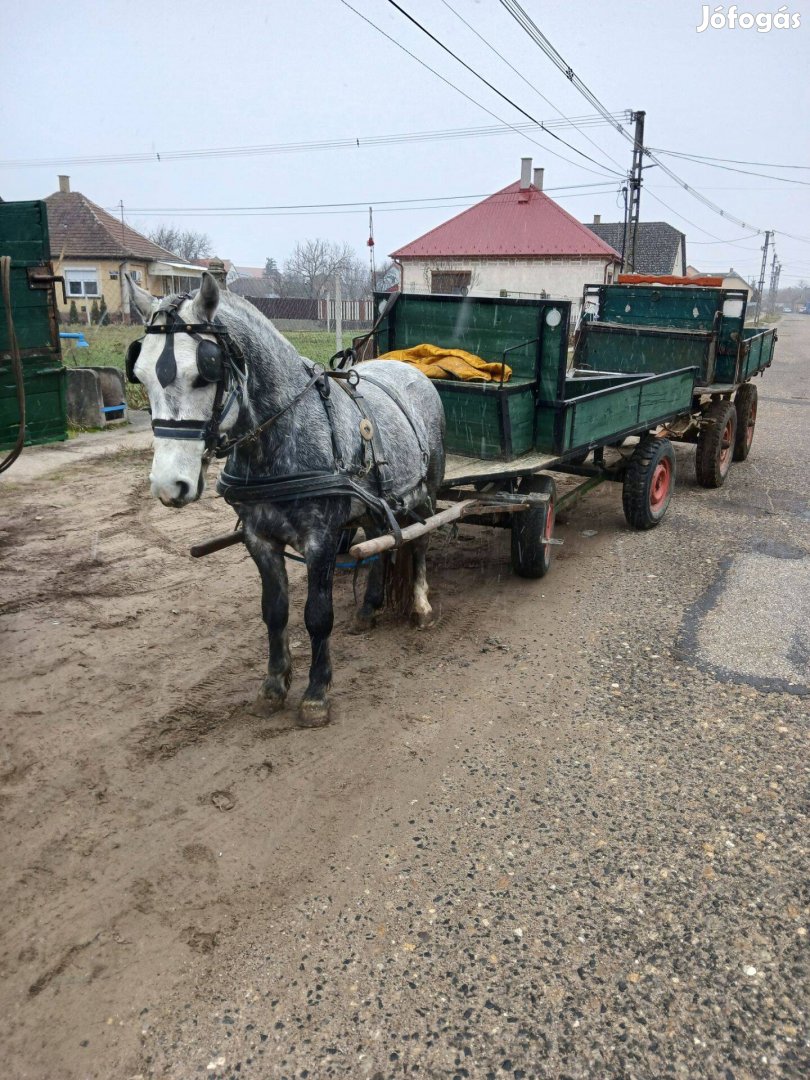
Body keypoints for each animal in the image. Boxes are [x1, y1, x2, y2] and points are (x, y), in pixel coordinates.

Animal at [128, 272, 444, 725]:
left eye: (204, 373)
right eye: (139, 374)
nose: (169, 485)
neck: (282, 433)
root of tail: (408, 365)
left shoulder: (322, 539)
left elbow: (317, 615)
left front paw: (316, 692)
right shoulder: (259, 537)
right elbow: (274, 612)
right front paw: (274, 685)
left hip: (426, 492)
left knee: (420, 541)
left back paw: (420, 607)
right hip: (373, 504)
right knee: (379, 543)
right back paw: (368, 608)